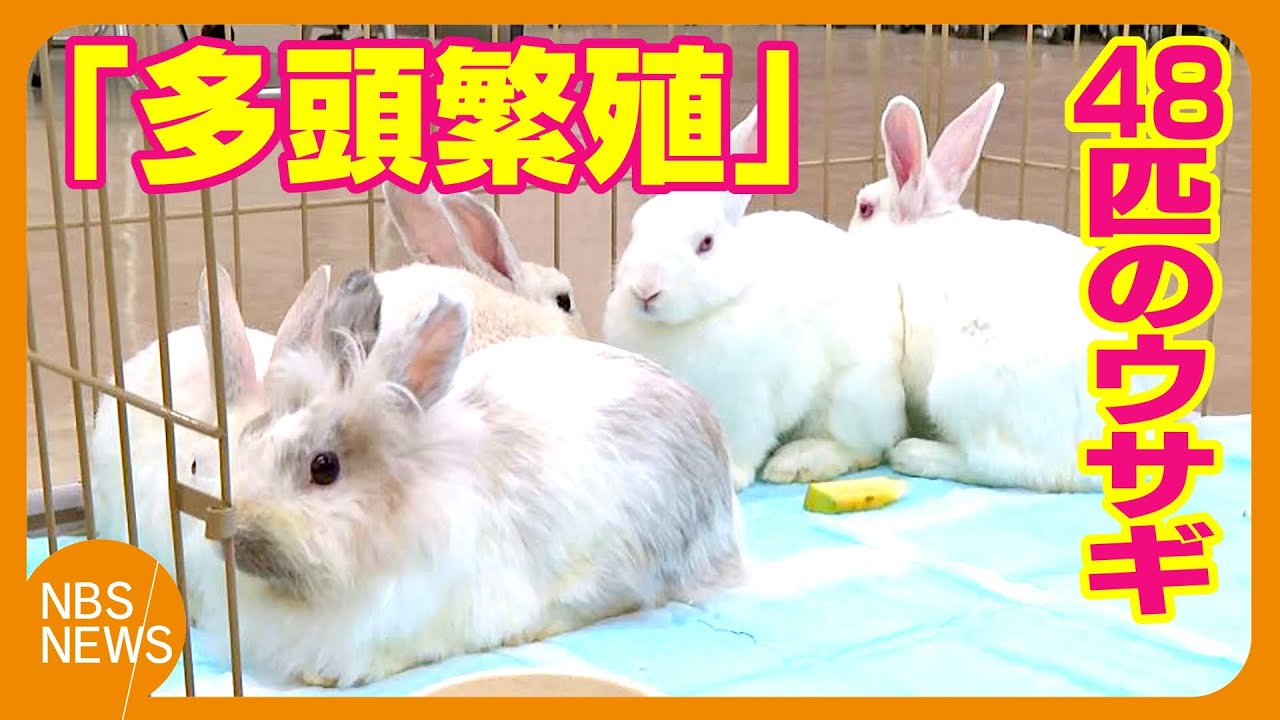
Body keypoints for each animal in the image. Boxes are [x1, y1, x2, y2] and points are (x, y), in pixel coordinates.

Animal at [604, 105, 908, 492]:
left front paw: (732, 477)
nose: (645, 290)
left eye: (706, 243)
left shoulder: (745, 399)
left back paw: (797, 463)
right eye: (635, 230)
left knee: (862, 448)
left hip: (850, 397)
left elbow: (742, 441)